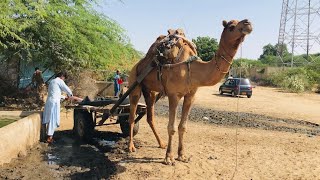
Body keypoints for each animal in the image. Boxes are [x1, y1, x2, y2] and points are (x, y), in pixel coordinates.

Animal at [127, 18, 252, 165]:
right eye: (231, 26)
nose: (248, 23)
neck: (191, 68)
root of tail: (137, 64)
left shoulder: (190, 95)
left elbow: (183, 127)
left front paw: (182, 155)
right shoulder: (173, 95)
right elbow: (171, 127)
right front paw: (169, 158)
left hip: (150, 91)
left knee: (150, 116)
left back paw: (161, 143)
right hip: (134, 81)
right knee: (131, 115)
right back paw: (131, 147)